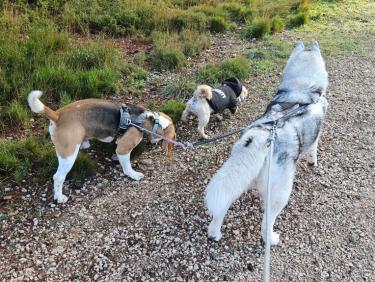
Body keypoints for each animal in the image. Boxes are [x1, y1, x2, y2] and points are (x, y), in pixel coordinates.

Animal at [27, 91, 178, 204]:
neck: (150, 120)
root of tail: (57, 115)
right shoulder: (123, 148)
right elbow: (127, 166)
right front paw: (133, 174)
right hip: (68, 155)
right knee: (58, 177)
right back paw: (59, 197)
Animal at [206, 40, 328, 246]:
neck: (301, 89)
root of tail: (259, 137)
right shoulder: (316, 133)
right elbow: (314, 149)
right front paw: (313, 162)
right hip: (280, 193)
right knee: (266, 223)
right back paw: (272, 239)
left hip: (241, 177)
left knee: (223, 203)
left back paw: (214, 233)